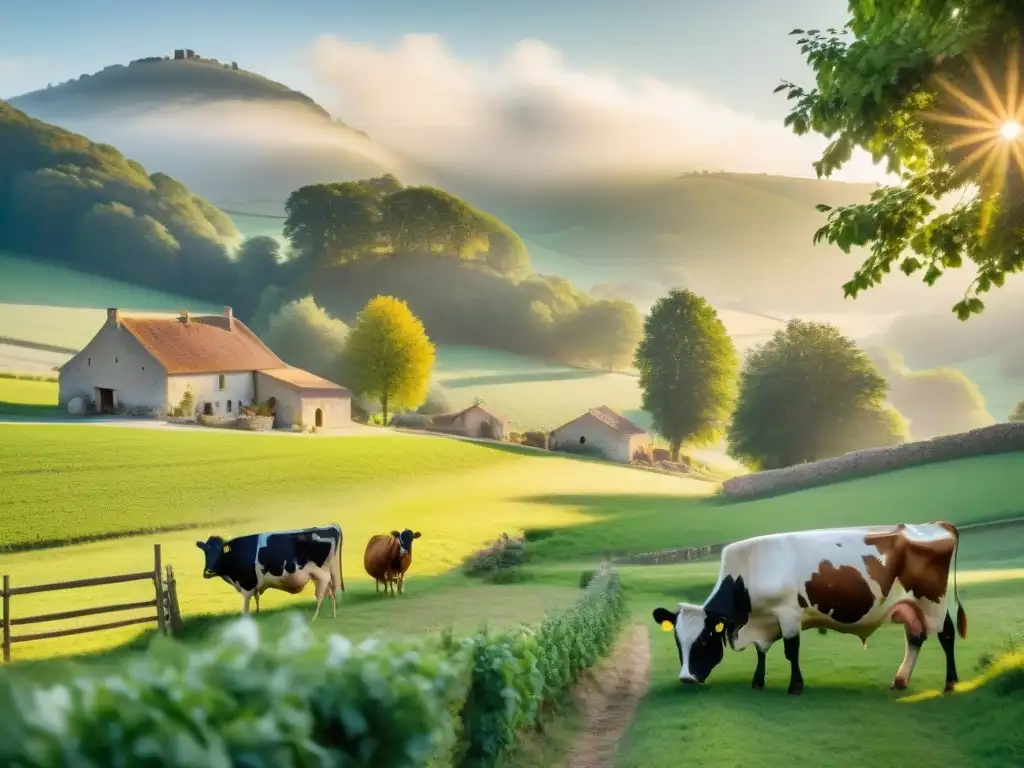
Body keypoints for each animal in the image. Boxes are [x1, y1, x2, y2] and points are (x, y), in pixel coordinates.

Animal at [193, 528, 346, 622]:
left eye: (220, 552)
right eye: (206, 552)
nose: (209, 571)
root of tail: (331, 527)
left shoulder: (247, 584)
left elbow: (246, 607)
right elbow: (257, 599)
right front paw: (258, 613)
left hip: (321, 573)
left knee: (322, 594)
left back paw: (314, 618)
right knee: (331, 592)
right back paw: (332, 615)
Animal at [655, 524, 966, 696]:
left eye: (704, 640)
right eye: (677, 642)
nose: (686, 678)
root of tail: (936, 525)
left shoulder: (789, 614)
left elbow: (790, 651)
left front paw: (795, 686)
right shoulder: (764, 621)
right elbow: (761, 652)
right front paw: (757, 681)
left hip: (934, 603)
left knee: (946, 636)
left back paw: (951, 682)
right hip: (911, 607)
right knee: (915, 637)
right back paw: (900, 680)